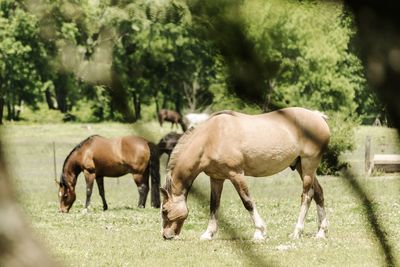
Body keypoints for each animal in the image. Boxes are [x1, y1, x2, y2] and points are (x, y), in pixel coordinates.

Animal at [161, 108, 330, 242]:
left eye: (164, 210)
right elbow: (214, 205)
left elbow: (247, 202)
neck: (211, 137)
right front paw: (208, 234)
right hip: (302, 166)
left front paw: (259, 232)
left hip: (308, 165)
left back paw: (296, 232)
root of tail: (318, 116)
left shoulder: (236, 174)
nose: (166, 235)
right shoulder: (217, 178)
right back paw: (321, 232)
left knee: (307, 196)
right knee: (318, 193)